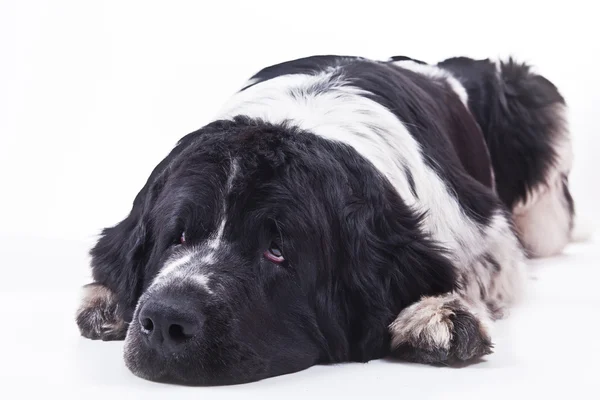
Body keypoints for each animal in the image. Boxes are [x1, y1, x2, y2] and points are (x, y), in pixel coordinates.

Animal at [77, 54, 576, 384]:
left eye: (277, 251)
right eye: (177, 236)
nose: (165, 320)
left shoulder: (485, 232)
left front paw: (438, 314)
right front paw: (106, 301)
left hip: (531, 99)